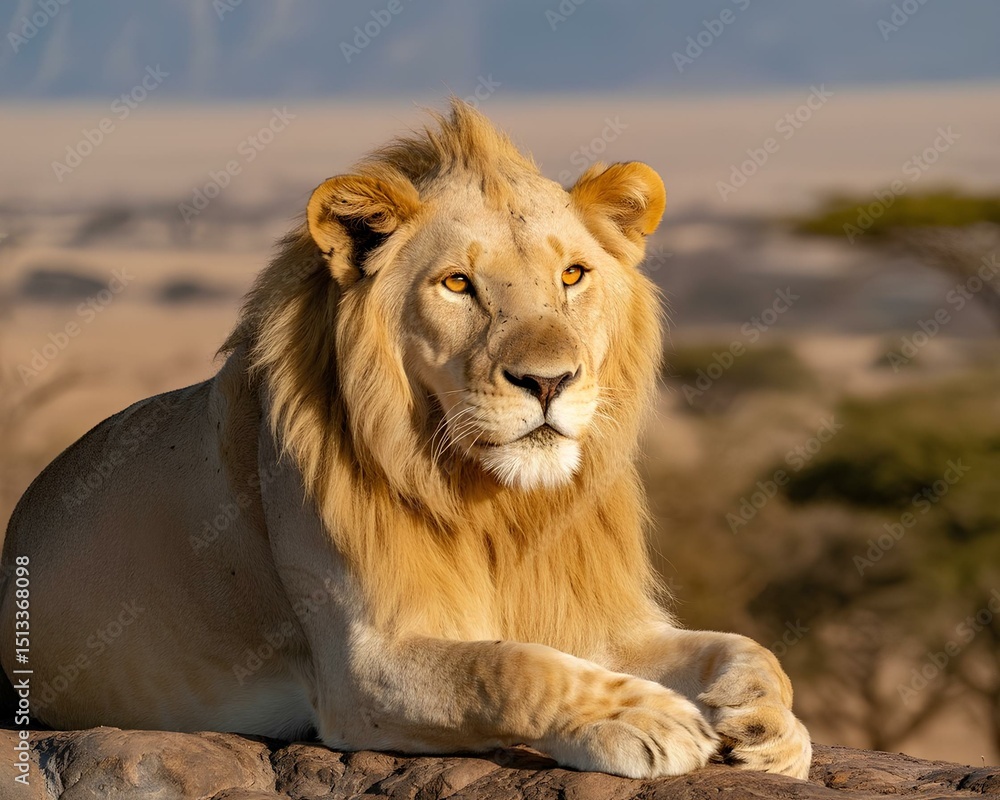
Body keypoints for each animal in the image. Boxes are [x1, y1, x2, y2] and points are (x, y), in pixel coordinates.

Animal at [0, 100, 811, 780]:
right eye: (456, 285)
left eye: (574, 275)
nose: (549, 382)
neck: (502, 507)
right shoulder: (363, 668)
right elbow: (511, 667)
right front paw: (646, 719)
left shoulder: (591, 621)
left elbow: (748, 648)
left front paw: (771, 731)